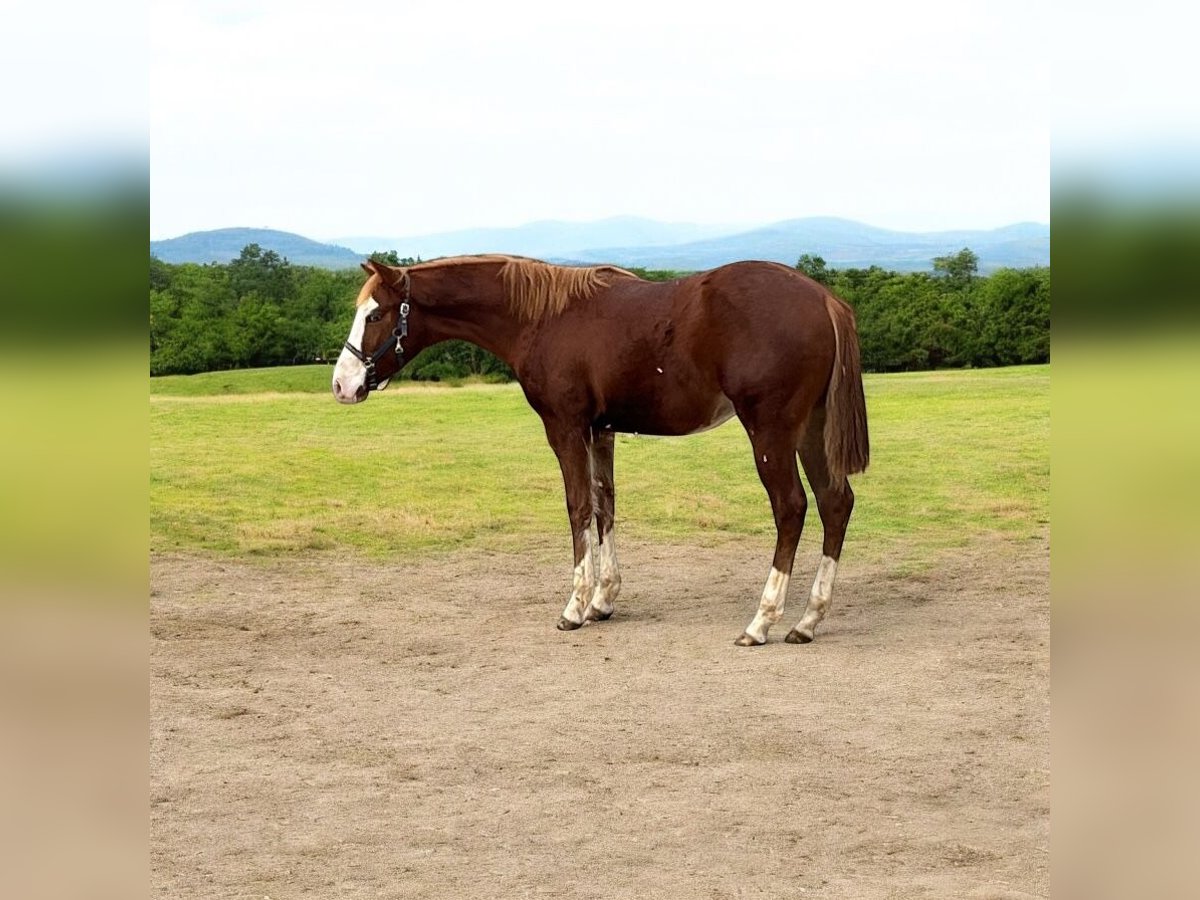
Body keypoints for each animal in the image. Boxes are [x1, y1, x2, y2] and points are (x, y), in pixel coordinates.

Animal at [333, 255, 868, 648]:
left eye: (375, 314)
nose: (343, 384)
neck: (543, 318)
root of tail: (823, 298)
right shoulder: (601, 432)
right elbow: (604, 505)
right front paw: (603, 601)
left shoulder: (565, 428)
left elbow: (577, 508)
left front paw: (574, 608)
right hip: (811, 428)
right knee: (835, 503)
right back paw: (808, 620)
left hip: (771, 431)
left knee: (792, 508)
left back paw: (762, 621)